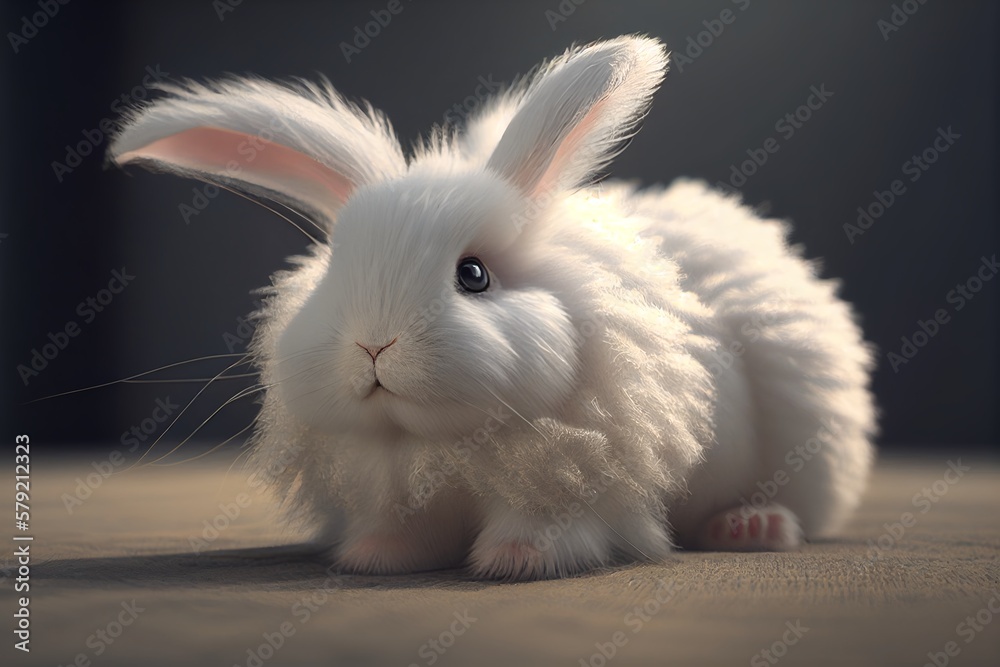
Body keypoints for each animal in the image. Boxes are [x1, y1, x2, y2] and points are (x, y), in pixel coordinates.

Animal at [108, 35, 876, 580]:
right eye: (333, 270)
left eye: (473, 275)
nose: (374, 345)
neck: (440, 442)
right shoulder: (396, 485)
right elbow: (404, 534)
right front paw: (373, 557)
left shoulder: (571, 484)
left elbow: (548, 529)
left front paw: (515, 562)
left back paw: (751, 527)